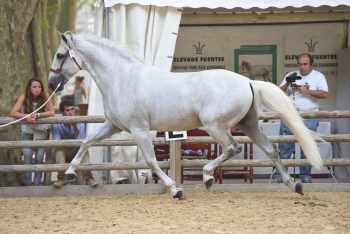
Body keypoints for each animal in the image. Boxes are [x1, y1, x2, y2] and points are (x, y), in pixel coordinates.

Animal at [48, 31, 322, 199]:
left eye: (60, 55)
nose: (51, 84)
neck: (122, 78)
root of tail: (248, 81)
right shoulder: (113, 126)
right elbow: (86, 141)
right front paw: (69, 174)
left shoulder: (139, 129)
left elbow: (151, 161)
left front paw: (175, 190)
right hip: (248, 124)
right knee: (271, 149)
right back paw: (294, 185)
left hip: (215, 126)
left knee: (232, 148)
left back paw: (207, 176)